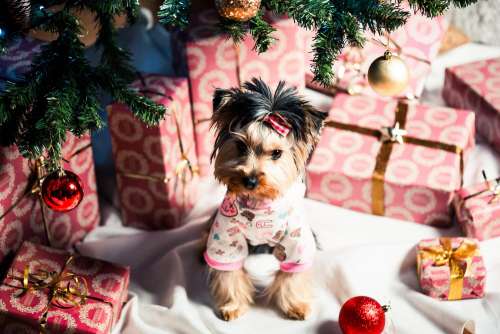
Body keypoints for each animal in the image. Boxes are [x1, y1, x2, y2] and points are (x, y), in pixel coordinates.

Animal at [204, 79, 328, 320]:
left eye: (277, 153)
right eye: (241, 146)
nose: (250, 180)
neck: (259, 204)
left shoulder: (296, 237)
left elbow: (293, 274)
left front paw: (296, 305)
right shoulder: (226, 234)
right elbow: (229, 271)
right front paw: (232, 305)